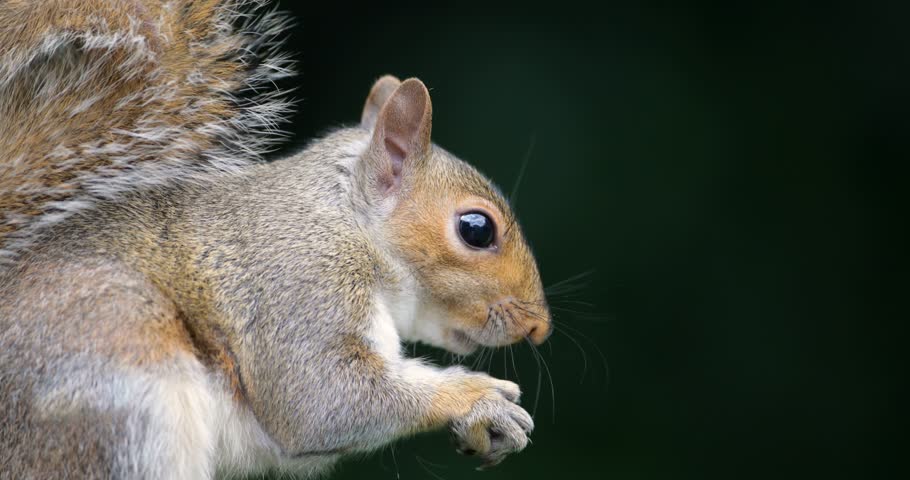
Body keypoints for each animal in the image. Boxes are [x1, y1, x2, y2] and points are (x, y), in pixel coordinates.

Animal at [0, 1, 552, 479]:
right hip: (116, 373)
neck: (347, 225)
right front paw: (476, 397)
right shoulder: (298, 290)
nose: (539, 328)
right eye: (476, 229)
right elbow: (323, 400)